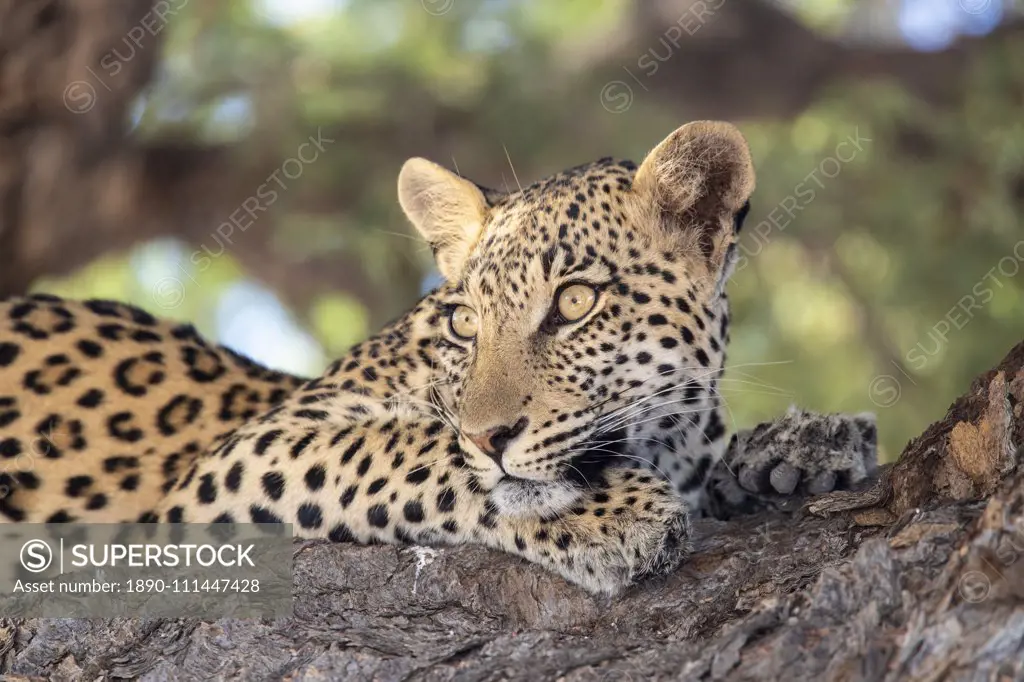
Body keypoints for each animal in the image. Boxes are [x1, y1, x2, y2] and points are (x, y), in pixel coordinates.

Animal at [2, 124, 880, 593]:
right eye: (464, 321)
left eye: (573, 304)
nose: (493, 435)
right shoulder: (240, 462)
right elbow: (406, 448)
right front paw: (615, 514)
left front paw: (805, 444)